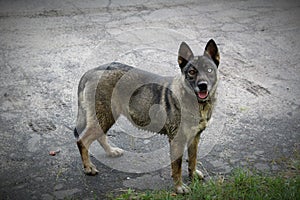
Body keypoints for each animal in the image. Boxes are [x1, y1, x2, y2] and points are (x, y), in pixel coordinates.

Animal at [74, 39, 220, 194]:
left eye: (210, 70)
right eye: (192, 72)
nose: (203, 86)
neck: (196, 103)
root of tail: (92, 71)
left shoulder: (194, 137)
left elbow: (193, 159)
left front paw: (192, 175)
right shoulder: (177, 140)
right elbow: (177, 167)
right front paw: (179, 187)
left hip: (106, 116)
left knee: (100, 136)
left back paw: (110, 151)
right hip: (104, 116)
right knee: (82, 140)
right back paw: (88, 167)